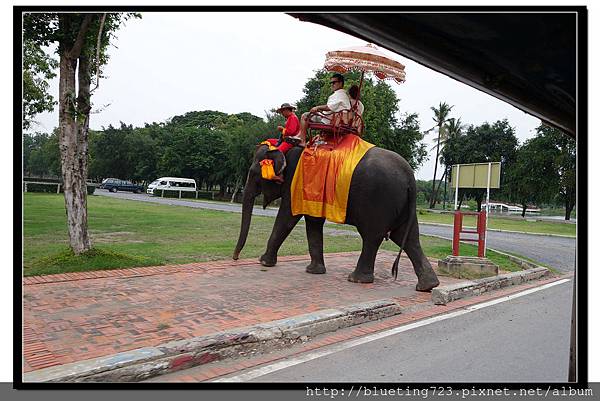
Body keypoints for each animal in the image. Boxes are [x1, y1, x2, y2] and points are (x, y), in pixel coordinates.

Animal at [232, 141, 438, 290]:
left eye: (253, 173)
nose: (235, 258)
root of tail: (410, 176)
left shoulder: (295, 184)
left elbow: (287, 218)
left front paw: (264, 262)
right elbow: (313, 222)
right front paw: (314, 271)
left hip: (378, 199)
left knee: (372, 236)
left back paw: (356, 279)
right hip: (401, 204)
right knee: (407, 237)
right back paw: (428, 286)